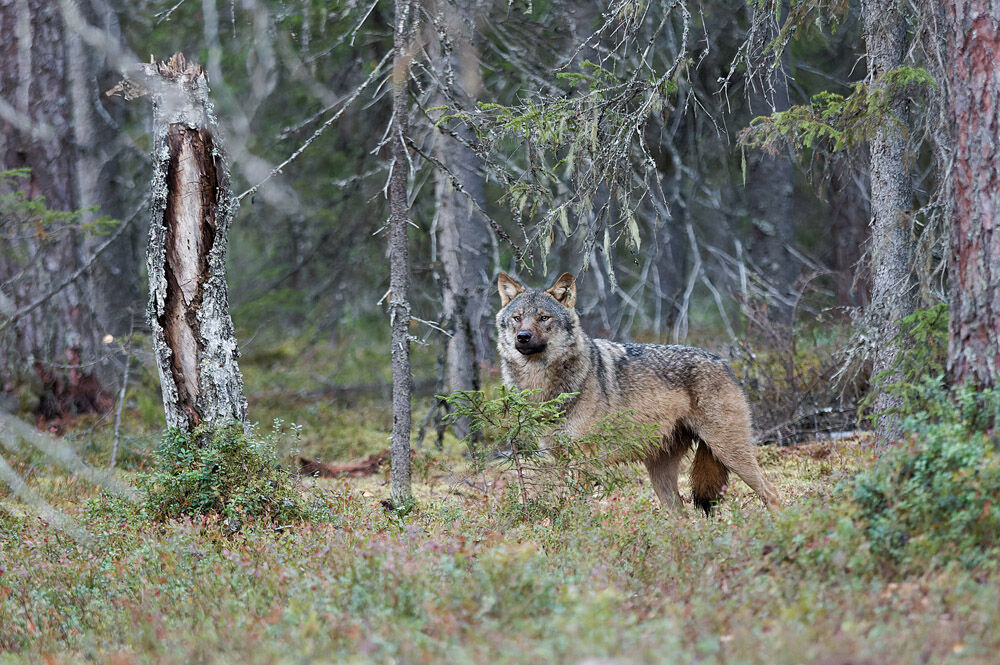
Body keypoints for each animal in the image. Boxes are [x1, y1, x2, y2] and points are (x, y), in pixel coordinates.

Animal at [495, 272, 781, 514]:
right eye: (517, 318)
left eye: (544, 318)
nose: (523, 336)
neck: (543, 386)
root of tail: (724, 362)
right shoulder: (560, 459)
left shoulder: (584, 461)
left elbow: (579, 509)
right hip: (662, 475)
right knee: (682, 515)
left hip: (730, 452)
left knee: (771, 492)